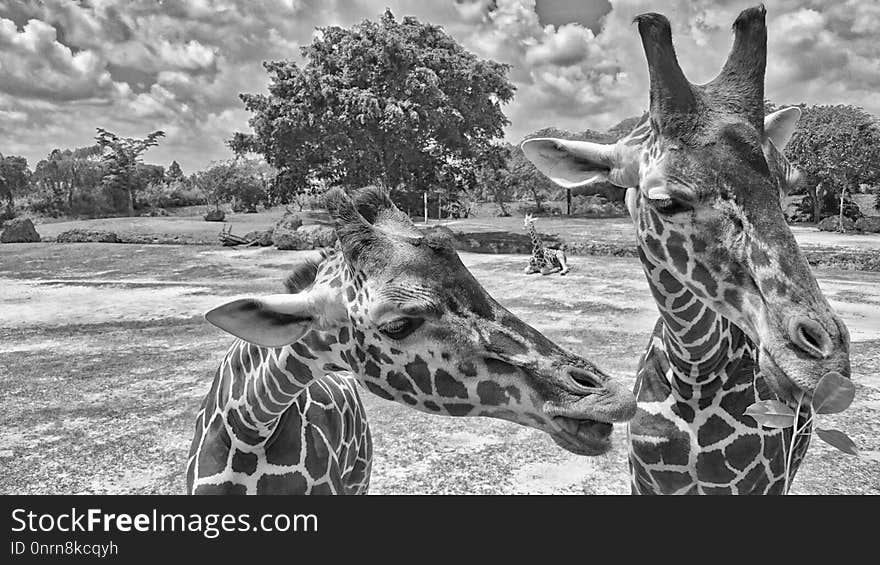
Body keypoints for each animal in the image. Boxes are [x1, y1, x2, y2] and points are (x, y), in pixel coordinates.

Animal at [520, 5, 848, 494]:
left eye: (790, 185)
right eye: (665, 201)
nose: (826, 363)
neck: (695, 369)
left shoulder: (764, 484)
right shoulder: (646, 480)